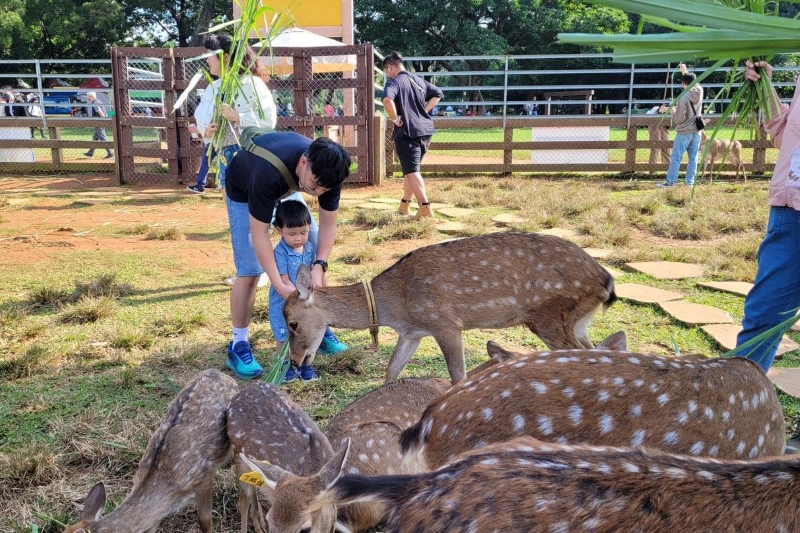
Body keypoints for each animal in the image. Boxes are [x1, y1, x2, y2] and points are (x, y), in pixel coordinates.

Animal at [284, 231, 616, 384]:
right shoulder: (413, 332)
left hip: (550, 316)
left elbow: (458, 376)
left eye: (292, 323)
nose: (296, 362)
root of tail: (606, 280)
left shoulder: (444, 322)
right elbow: (392, 369)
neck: (396, 304)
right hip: (578, 320)